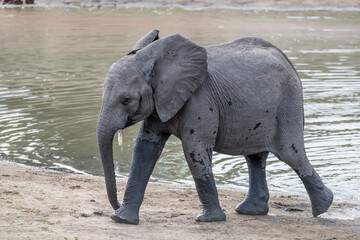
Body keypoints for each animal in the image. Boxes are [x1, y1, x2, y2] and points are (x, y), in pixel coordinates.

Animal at [97, 30, 334, 225]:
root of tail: (286, 59)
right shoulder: (159, 103)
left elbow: (194, 151)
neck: (154, 61)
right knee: (255, 157)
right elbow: (144, 150)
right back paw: (250, 211)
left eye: (126, 100)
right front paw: (122, 219)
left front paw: (208, 220)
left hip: (287, 105)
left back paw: (323, 207)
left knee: (291, 154)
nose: (115, 205)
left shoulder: (199, 100)